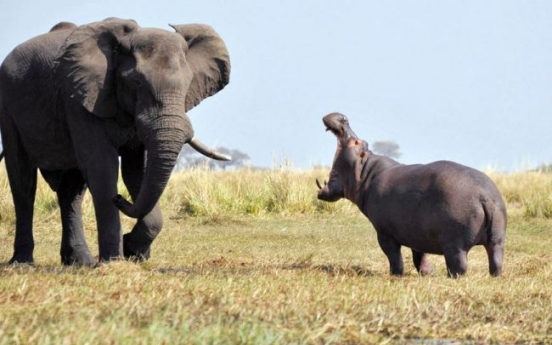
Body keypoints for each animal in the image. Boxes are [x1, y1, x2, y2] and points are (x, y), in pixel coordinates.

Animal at [0, 18, 232, 264]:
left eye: (188, 83)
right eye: (137, 83)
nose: (119, 198)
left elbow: (137, 171)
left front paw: (133, 251)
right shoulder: (81, 98)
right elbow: (103, 169)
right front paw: (114, 260)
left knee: (71, 191)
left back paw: (81, 262)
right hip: (8, 106)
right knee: (23, 181)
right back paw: (23, 263)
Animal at [316, 113, 506, 276]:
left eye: (356, 142)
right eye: (364, 142)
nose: (343, 118)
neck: (365, 172)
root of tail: (485, 196)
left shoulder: (384, 233)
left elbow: (394, 256)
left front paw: (395, 275)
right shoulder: (417, 233)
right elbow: (419, 257)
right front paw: (428, 274)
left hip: (455, 244)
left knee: (459, 266)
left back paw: (451, 277)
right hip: (497, 239)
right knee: (496, 260)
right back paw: (494, 276)